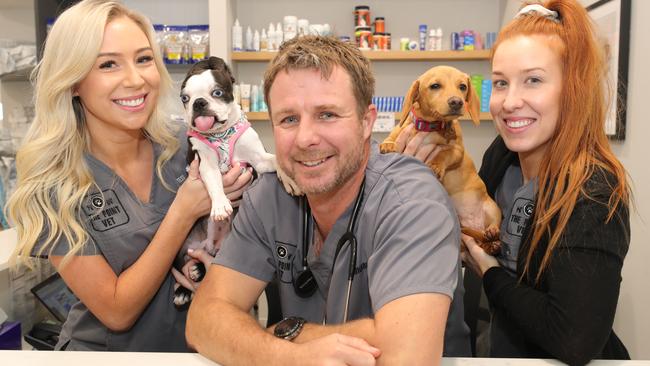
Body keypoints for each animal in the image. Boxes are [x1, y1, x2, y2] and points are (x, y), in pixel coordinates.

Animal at [168, 55, 298, 306]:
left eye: (217, 92)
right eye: (185, 98)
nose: (198, 103)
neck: (221, 134)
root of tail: (209, 245)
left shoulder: (258, 160)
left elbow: (275, 160)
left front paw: (288, 177)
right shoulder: (206, 164)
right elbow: (215, 183)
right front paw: (220, 205)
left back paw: (198, 270)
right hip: (181, 246)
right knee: (180, 265)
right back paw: (183, 290)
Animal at [380, 66, 502, 254]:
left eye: (462, 86)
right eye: (435, 86)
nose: (457, 102)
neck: (430, 126)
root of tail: (476, 226)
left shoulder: (457, 151)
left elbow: (443, 154)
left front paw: (436, 165)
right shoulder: (403, 129)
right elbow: (394, 134)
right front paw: (388, 144)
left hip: (493, 208)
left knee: (495, 225)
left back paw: (493, 235)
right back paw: (489, 244)